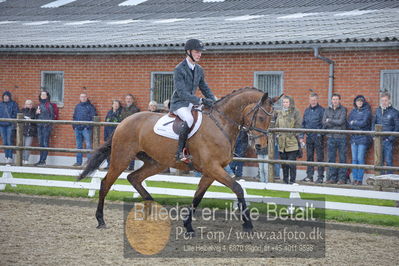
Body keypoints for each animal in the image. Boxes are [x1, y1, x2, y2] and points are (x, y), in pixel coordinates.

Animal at [79, 87, 280, 233]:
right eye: (260, 116)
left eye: (273, 119)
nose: (260, 146)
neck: (221, 125)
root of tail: (123, 122)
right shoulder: (213, 168)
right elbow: (238, 188)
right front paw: (248, 224)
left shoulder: (210, 172)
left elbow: (198, 197)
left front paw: (188, 225)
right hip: (121, 159)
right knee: (106, 183)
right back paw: (101, 219)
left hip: (156, 163)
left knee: (134, 178)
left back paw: (153, 208)